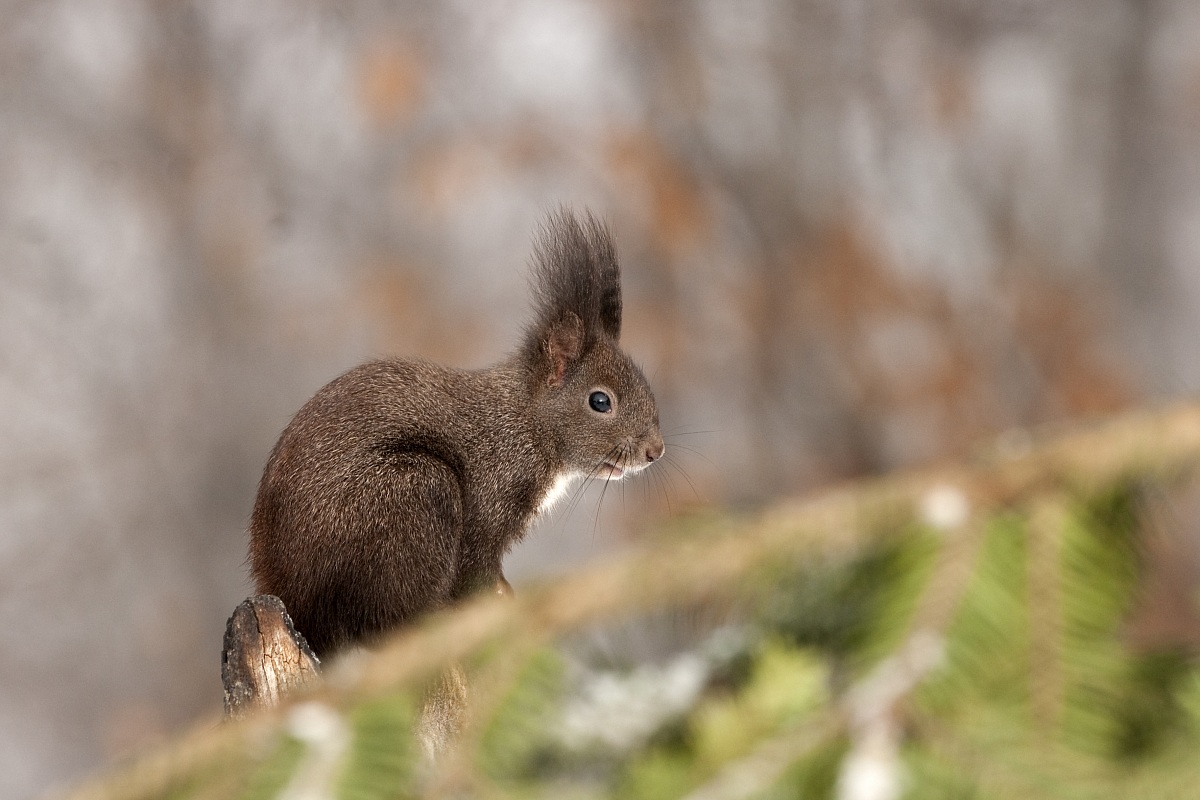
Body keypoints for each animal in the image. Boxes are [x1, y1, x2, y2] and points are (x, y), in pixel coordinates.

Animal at [249, 209, 664, 658]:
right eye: (600, 401)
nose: (655, 450)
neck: (526, 423)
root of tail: (293, 598)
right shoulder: (488, 503)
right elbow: (475, 573)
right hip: (415, 493)